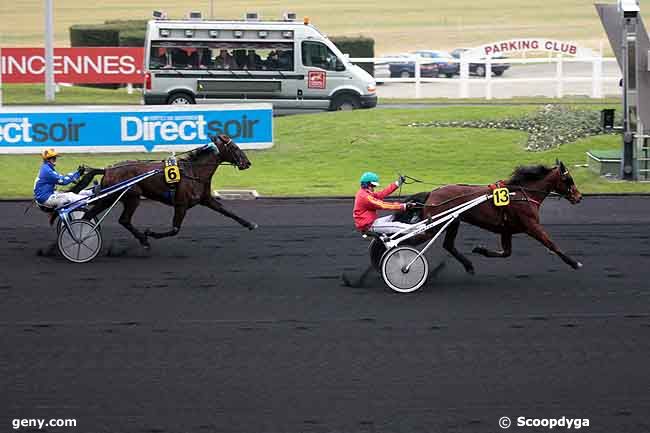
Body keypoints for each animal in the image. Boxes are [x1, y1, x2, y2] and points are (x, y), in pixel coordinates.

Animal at [75, 133, 256, 248]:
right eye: (234, 147)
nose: (247, 163)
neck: (194, 172)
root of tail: (107, 169)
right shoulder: (181, 204)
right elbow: (175, 229)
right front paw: (150, 233)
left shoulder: (206, 199)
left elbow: (227, 211)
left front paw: (250, 224)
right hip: (131, 197)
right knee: (123, 220)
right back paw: (143, 239)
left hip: (110, 197)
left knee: (89, 215)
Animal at [374, 159, 584, 274]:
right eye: (568, 179)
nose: (579, 197)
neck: (522, 193)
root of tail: (432, 193)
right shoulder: (531, 225)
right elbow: (551, 244)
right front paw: (574, 263)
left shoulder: (506, 230)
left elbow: (506, 252)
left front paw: (480, 249)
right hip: (435, 225)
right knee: (404, 239)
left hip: (453, 221)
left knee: (448, 245)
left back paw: (469, 265)